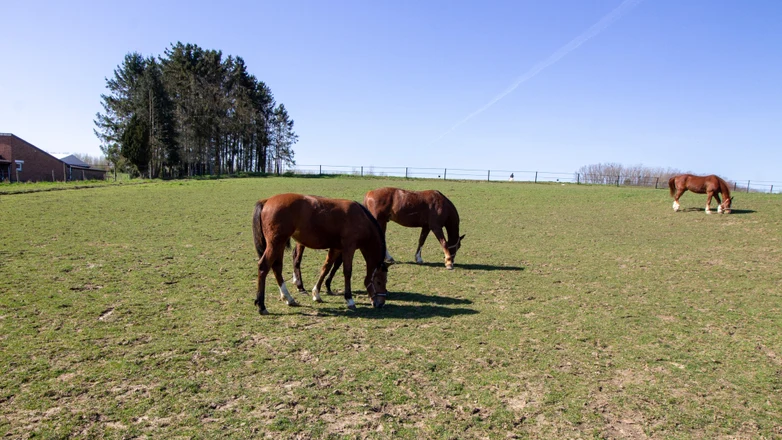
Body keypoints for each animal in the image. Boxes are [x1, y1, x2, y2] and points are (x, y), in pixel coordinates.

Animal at [251, 192, 388, 312]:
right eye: (379, 281)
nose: (381, 303)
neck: (360, 217)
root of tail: (267, 201)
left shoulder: (336, 248)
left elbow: (326, 268)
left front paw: (316, 294)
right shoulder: (349, 248)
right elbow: (347, 272)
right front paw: (349, 299)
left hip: (280, 244)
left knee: (277, 268)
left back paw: (288, 298)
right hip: (276, 244)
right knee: (264, 266)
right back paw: (262, 305)